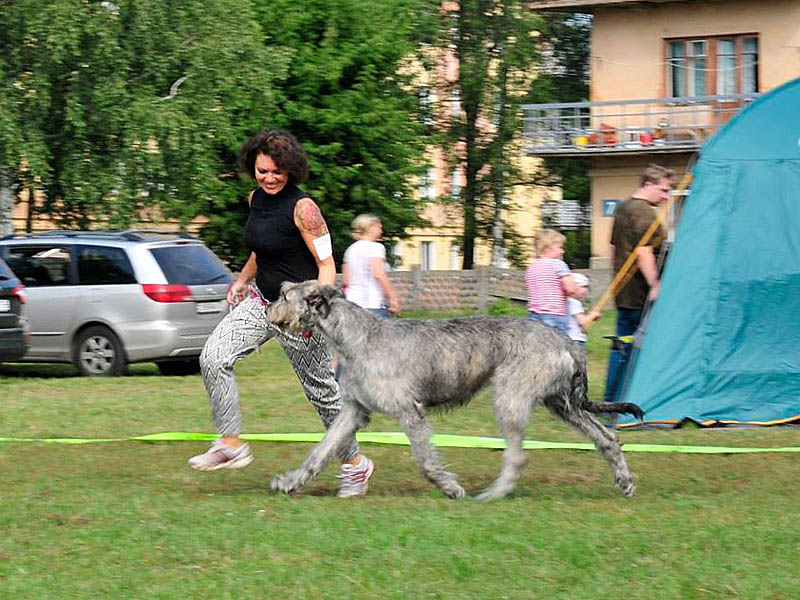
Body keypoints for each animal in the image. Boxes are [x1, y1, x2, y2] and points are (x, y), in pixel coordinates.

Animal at [268, 282, 644, 502]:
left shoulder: (409, 411)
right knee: (606, 438)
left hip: (510, 398)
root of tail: (565, 340)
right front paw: (291, 481)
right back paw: (624, 481)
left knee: (517, 455)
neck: (356, 337)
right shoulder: (353, 410)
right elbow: (320, 451)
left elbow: (425, 461)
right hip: (562, 403)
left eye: (285, 296)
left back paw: (494, 493)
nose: (268, 306)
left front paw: (450, 487)